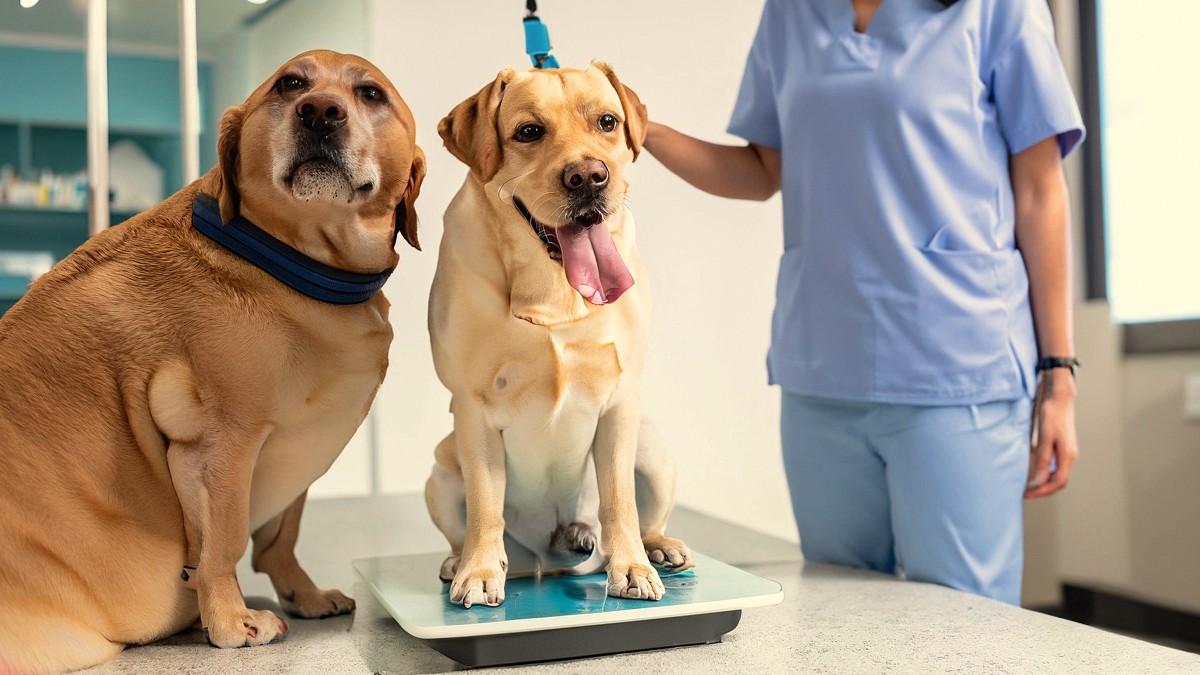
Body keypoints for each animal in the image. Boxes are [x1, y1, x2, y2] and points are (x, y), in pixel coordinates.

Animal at [0, 49, 424, 667]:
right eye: (290, 83)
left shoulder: (299, 447)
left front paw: (304, 594)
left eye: (371, 93)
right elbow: (221, 545)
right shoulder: (217, 448)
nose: (320, 112)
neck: (298, 267)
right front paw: (230, 621)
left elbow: (280, 538)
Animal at [427, 64, 696, 610]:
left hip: (651, 446)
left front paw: (632, 567)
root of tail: (547, 559)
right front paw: (478, 571)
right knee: (471, 527)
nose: (588, 177)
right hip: (440, 471)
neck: (555, 291)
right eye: (529, 131)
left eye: (608, 121)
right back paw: (460, 561)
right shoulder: (472, 408)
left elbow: (620, 502)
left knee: (642, 516)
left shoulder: (620, 402)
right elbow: (485, 504)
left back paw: (653, 546)